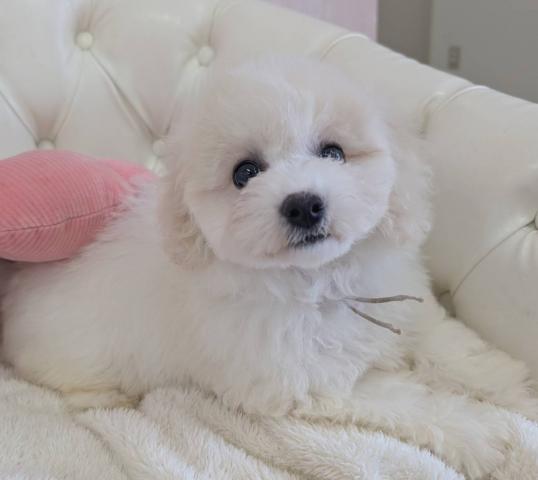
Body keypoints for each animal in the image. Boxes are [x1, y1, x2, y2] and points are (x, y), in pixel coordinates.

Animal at [2, 57, 537, 478]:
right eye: (245, 173)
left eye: (333, 152)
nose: (304, 205)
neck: (321, 281)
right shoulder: (307, 382)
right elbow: (406, 400)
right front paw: (482, 434)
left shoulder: (406, 311)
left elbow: (454, 349)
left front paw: (515, 387)